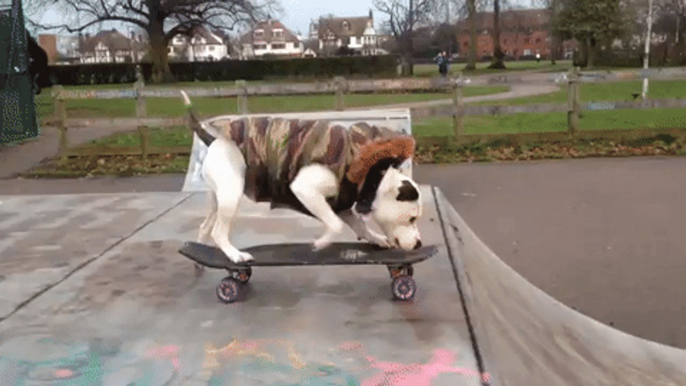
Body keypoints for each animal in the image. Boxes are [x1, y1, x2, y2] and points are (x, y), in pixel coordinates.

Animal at [180, 91, 422, 266]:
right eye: (412, 219)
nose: (420, 244)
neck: (374, 175)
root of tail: (213, 139)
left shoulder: (342, 204)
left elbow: (358, 226)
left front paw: (376, 238)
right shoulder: (306, 190)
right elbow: (335, 225)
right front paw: (321, 243)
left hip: (219, 198)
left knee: (205, 227)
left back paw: (201, 259)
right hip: (231, 195)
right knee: (218, 231)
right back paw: (234, 255)